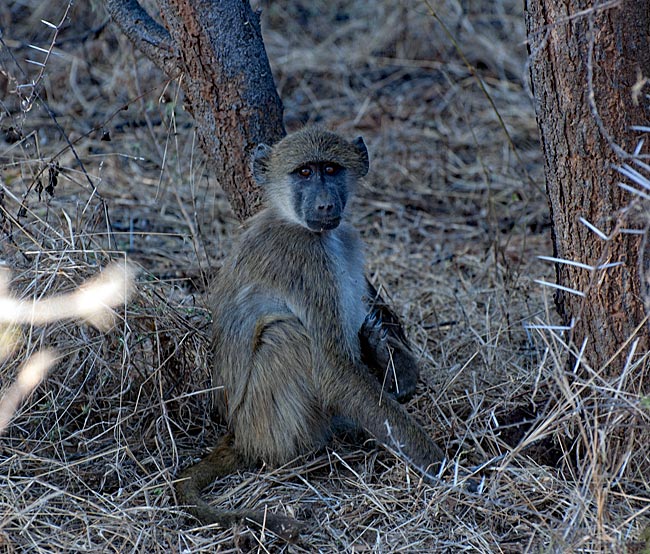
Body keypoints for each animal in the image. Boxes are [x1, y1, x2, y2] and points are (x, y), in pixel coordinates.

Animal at [175, 127, 445, 541]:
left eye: (330, 169)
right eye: (304, 172)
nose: (324, 205)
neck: (296, 223)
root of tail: (238, 435)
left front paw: (391, 360)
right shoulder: (305, 260)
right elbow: (335, 367)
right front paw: (448, 469)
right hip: (264, 425)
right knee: (284, 336)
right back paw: (310, 455)